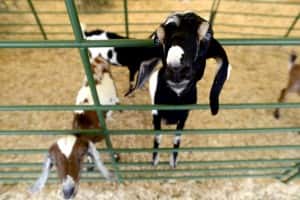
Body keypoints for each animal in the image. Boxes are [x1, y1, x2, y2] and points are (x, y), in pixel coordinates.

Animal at [135, 12, 231, 167]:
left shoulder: (185, 115)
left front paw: (173, 161)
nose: (176, 69)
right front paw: (155, 160)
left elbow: (177, 137)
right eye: (157, 39)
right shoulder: (156, 112)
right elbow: (158, 137)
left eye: (208, 34)